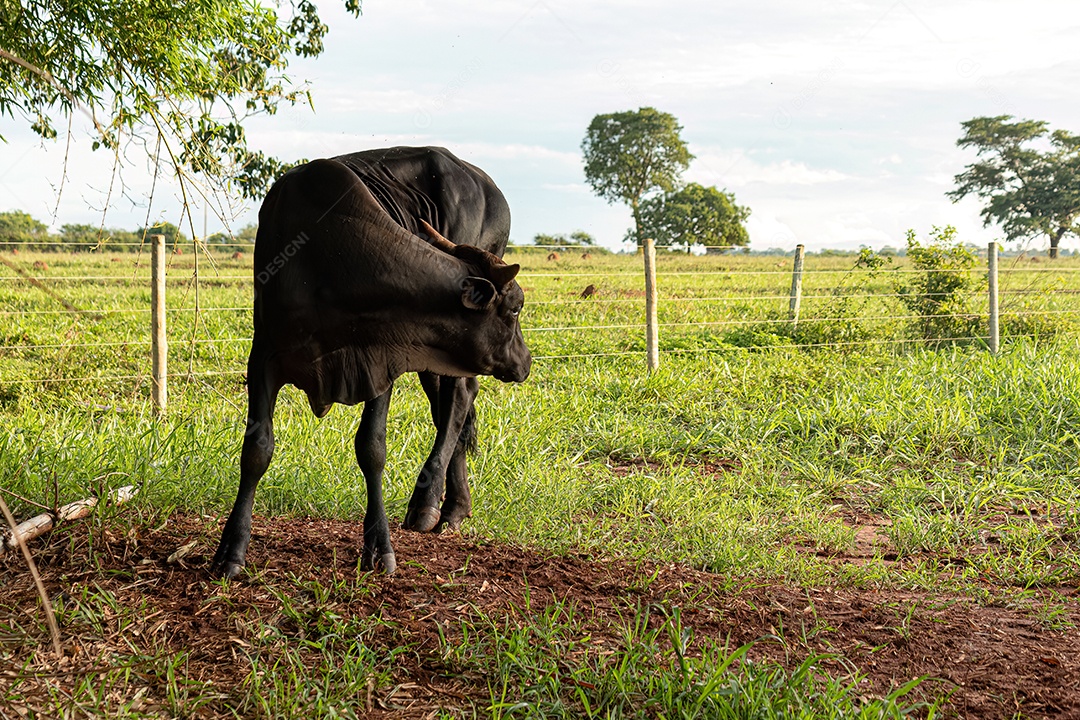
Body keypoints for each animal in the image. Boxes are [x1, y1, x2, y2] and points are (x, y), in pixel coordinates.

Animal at [210, 147, 531, 578]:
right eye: (515, 308)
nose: (525, 360)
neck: (328, 261)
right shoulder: (262, 356)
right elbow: (257, 449)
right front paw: (231, 549)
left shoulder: (380, 362)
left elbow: (371, 448)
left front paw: (379, 545)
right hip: (437, 355)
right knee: (451, 406)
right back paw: (452, 507)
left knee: (458, 400)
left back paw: (428, 502)